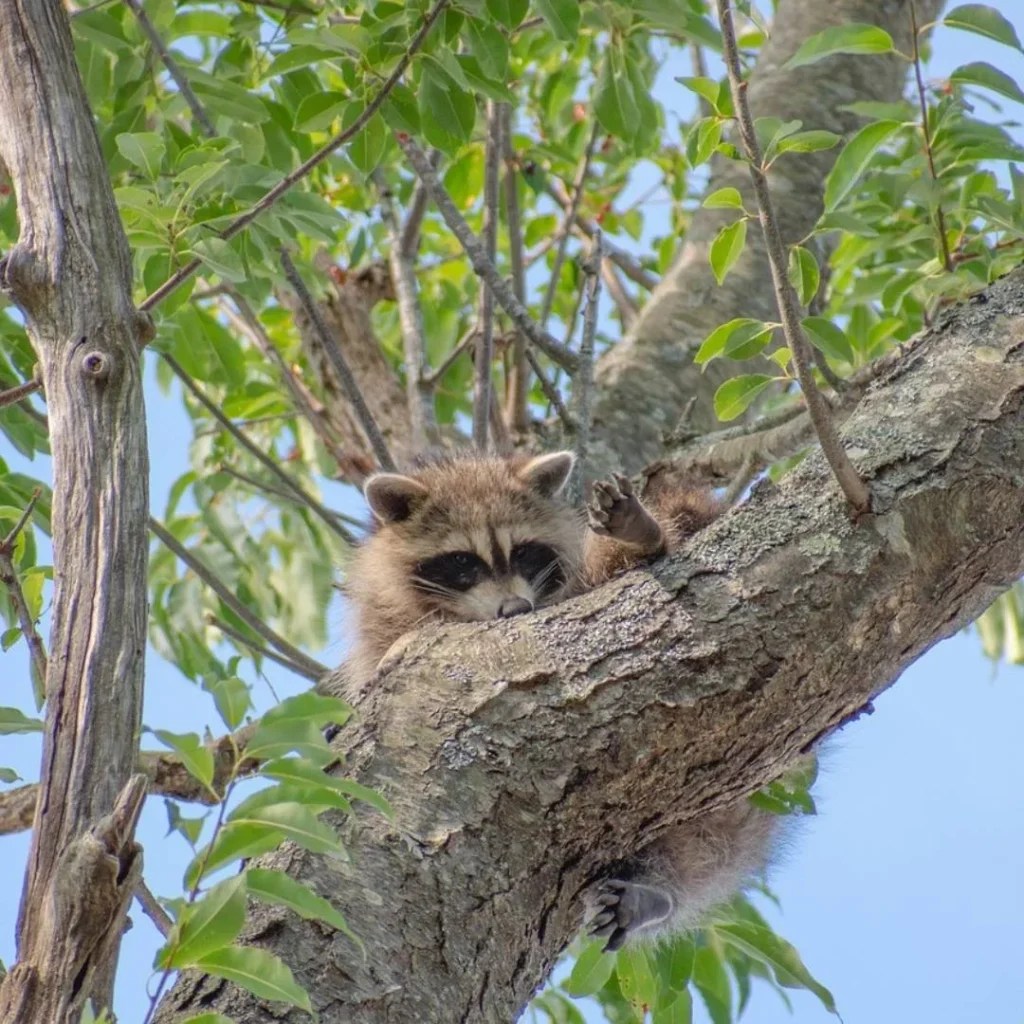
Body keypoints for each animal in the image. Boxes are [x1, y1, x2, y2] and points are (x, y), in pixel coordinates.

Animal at [341, 449, 776, 951]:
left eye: (524, 553)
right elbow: (381, 654)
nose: (515, 610)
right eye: (463, 562)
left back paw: (643, 537)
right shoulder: (381, 615)